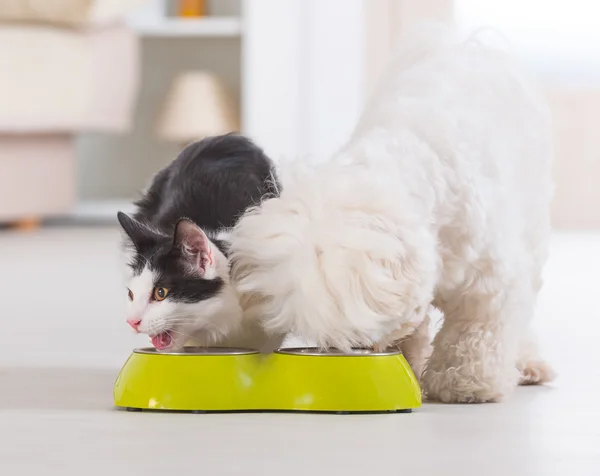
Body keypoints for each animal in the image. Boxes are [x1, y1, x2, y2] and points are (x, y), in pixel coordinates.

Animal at [229, 27, 552, 402]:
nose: (348, 350)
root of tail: (467, 46)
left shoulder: (490, 278)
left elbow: (477, 328)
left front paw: (464, 383)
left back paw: (527, 363)